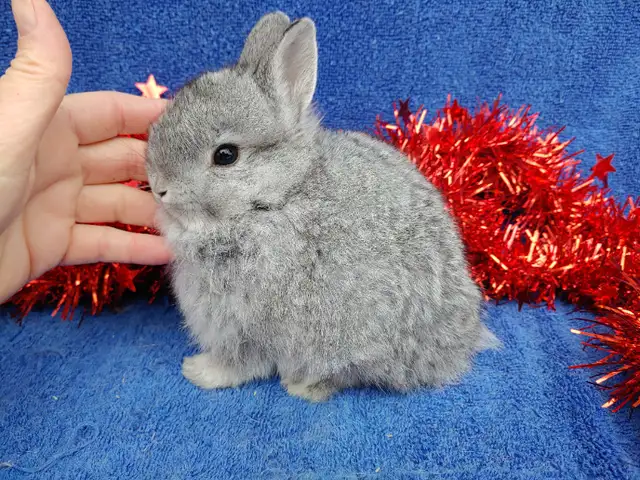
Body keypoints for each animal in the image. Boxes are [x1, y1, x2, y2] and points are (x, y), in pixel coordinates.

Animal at [145, 11, 499, 402]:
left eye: (226, 155)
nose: (159, 187)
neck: (279, 196)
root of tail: (455, 349)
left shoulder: (244, 324)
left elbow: (240, 362)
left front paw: (199, 372)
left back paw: (303, 387)